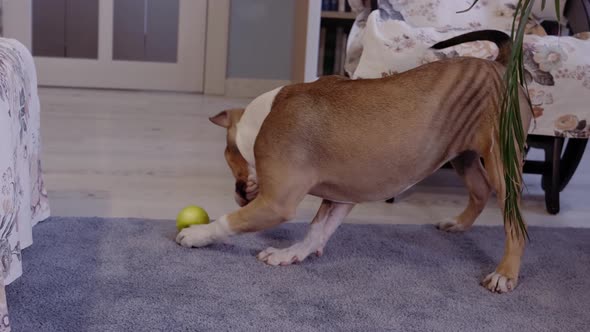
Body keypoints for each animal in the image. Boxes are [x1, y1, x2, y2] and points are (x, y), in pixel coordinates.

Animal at [178, 30, 536, 294]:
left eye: (229, 158)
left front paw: (197, 233)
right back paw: (459, 224)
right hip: (463, 156)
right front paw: (292, 253)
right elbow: (317, 230)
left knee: (514, 224)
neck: (261, 120)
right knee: (479, 190)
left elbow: (229, 221)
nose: (239, 191)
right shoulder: (341, 196)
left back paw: (505, 273)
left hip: (502, 163)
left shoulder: (276, 203)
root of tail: (501, 65)